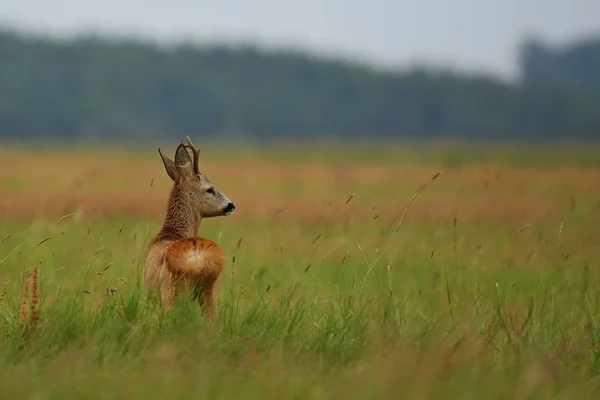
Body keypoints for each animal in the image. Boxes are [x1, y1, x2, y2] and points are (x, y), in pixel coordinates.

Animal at [144, 136, 236, 320]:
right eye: (209, 189)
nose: (231, 205)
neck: (172, 232)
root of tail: (198, 258)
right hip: (211, 290)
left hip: (171, 290)